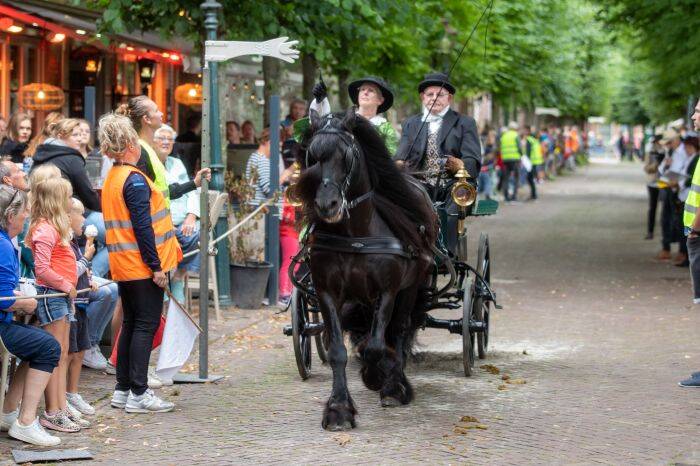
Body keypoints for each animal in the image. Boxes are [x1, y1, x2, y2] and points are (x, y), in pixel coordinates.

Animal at [296, 109, 438, 430]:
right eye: (312, 155)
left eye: (347, 155)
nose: (327, 204)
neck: (355, 234)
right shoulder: (326, 291)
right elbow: (337, 350)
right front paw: (338, 409)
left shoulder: (388, 289)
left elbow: (376, 346)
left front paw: (377, 377)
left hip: (410, 287)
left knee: (398, 331)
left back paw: (394, 385)